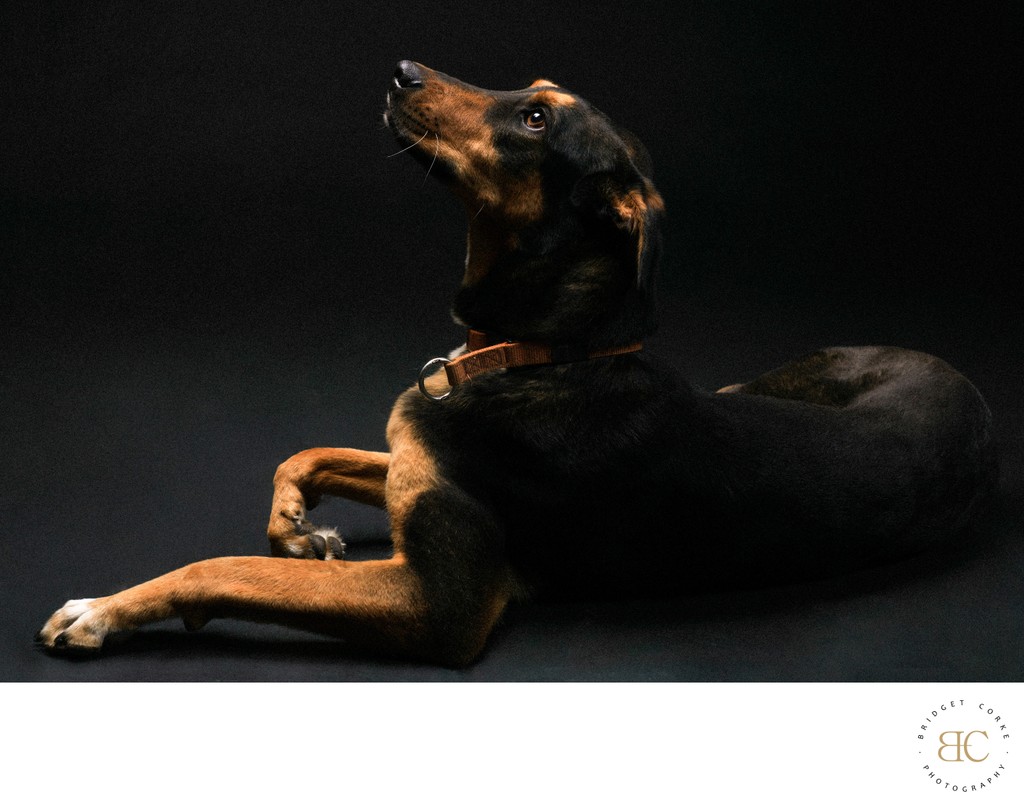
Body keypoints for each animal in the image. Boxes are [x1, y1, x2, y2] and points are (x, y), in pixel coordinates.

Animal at [36, 61, 995, 667]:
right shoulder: (412, 460)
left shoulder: (440, 605)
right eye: (533, 92)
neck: (542, 351)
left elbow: (224, 568)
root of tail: (968, 387)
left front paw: (107, 611)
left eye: (536, 120)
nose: (403, 70)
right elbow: (306, 455)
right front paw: (302, 529)